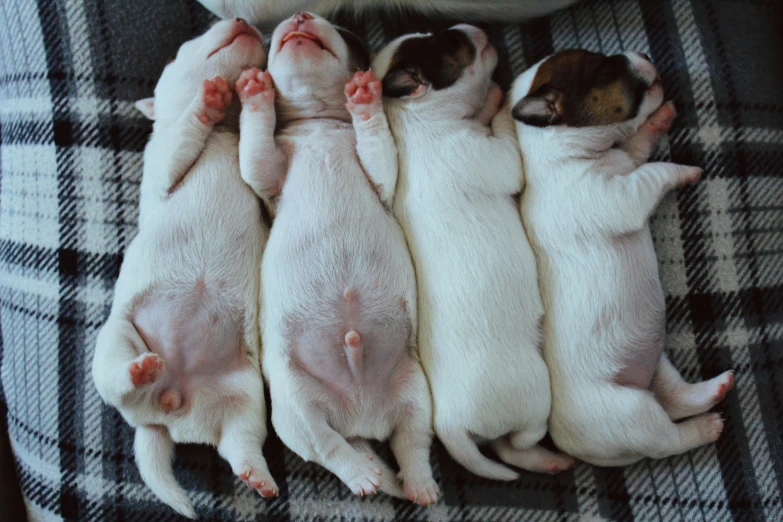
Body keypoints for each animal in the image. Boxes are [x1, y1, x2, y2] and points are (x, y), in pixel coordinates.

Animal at [92, 19, 278, 516]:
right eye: (178, 52)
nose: (244, 21)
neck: (224, 134)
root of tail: (170, 403)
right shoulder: (164, 167)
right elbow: (183, 134)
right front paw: (209, 97)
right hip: (117, 337)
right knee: (115, 381)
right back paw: (136, 371)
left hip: (246, 393)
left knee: (240, 440)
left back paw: (258, 476)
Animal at [236, 12, 438, 502]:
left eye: (345, 34)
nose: (300, 15)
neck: (318, 126)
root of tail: (362, 417)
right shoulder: (269, 173)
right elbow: (255, 154)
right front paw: (253, 90)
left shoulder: (377, 171)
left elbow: (378, 150)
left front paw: (364, 96)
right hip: (294, 406)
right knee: (327, 446)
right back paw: (363, 473)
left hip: (414, 391)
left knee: (411, 442)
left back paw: (419, 485)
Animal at [512, 48, 740, 464]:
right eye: (604, 68)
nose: (644, 53)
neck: (564, 154)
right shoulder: (623, 197)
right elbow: (656, 170)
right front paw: (684, 169)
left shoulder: (627, 162)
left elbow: (639, 146)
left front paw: (660, 119)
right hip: (633, 412)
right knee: (669, 438)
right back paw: (706, 427)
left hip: (655, 359)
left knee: (676, 397)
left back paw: (714, 388)